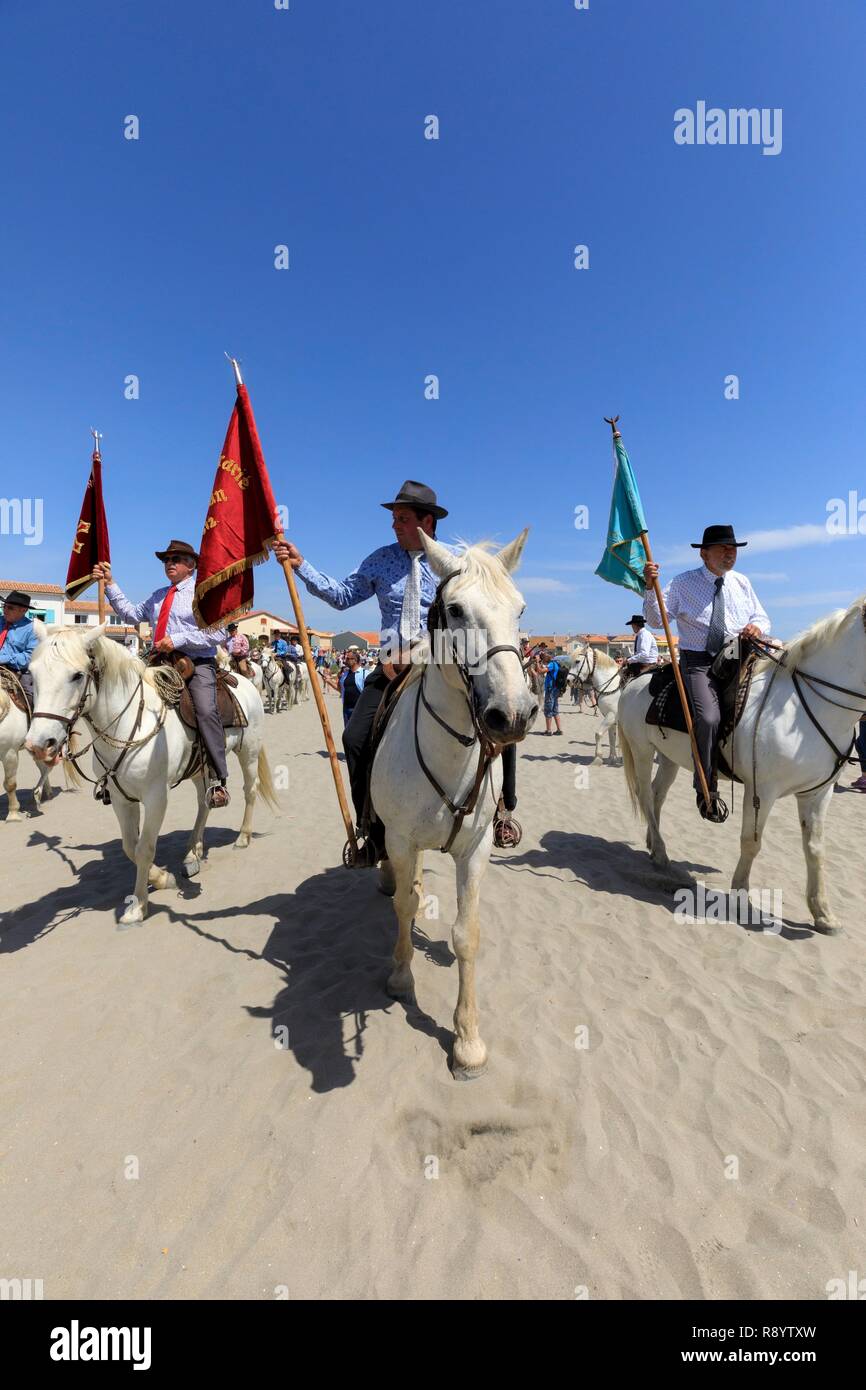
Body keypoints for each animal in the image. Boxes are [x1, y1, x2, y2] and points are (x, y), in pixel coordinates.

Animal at [27, 631, 276, 922]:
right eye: (32, 673)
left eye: (77, 675)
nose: (39, 744)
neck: (129, 725)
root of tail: (243, 680)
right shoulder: (122, 799)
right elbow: (129, 846)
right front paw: (160, 878)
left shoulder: (156, 797)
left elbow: (144, 848)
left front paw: (139, 905)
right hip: (200, 768)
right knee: (203, 804)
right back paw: (193, 853)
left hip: (248, 752)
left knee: (250, 790)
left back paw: (242, 838)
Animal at [369, 525, 539, 1078]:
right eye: (457, 609)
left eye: (520, 609)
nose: (513, 714)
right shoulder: (401, 839)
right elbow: (403, 907)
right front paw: (400, 977)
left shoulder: (476, 847)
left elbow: (467, 935)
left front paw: (467, 1041)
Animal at [619, 597, 866, 934]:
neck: (803, 708)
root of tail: (636, 682)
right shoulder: (761, 790)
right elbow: (751, 842)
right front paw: (741, 899)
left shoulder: (818, 793)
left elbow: (815, 849)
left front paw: (823, 914)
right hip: (642, 752)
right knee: (645, 796)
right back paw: (662, 855)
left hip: (669, 758)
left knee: (657, 797)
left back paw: (654, 845)